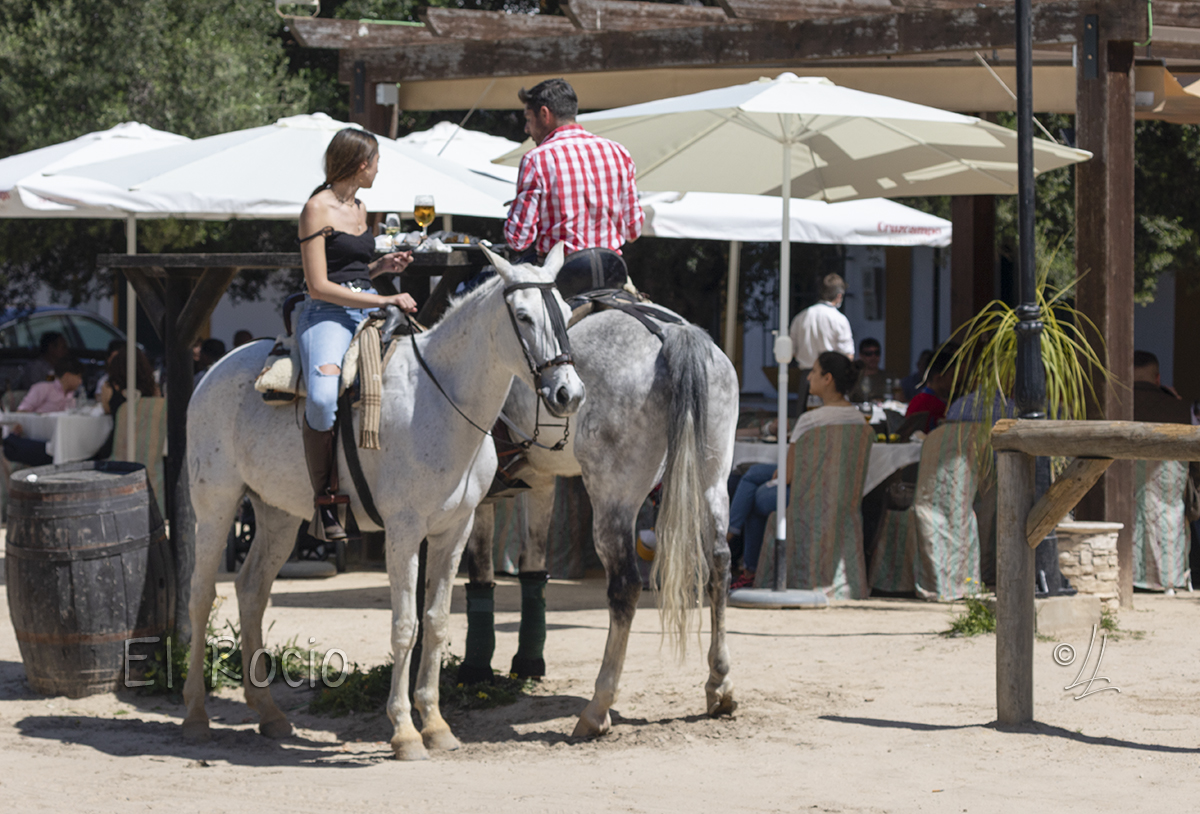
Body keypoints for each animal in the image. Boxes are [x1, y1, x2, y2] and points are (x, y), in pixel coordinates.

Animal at [181, 246, 585, 763]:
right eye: (522, 316)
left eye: (565, 314)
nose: (568, 394)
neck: (439, 400)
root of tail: (214, 369)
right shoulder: (404, 532)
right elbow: (404, 625)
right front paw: (405, 733)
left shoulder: (454, 530)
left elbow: (436, 623)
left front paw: (436, 725)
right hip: (215, 504)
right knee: (202, 595)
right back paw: (195, 715)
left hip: (278, 514)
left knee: (251, 590)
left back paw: (269, 713)